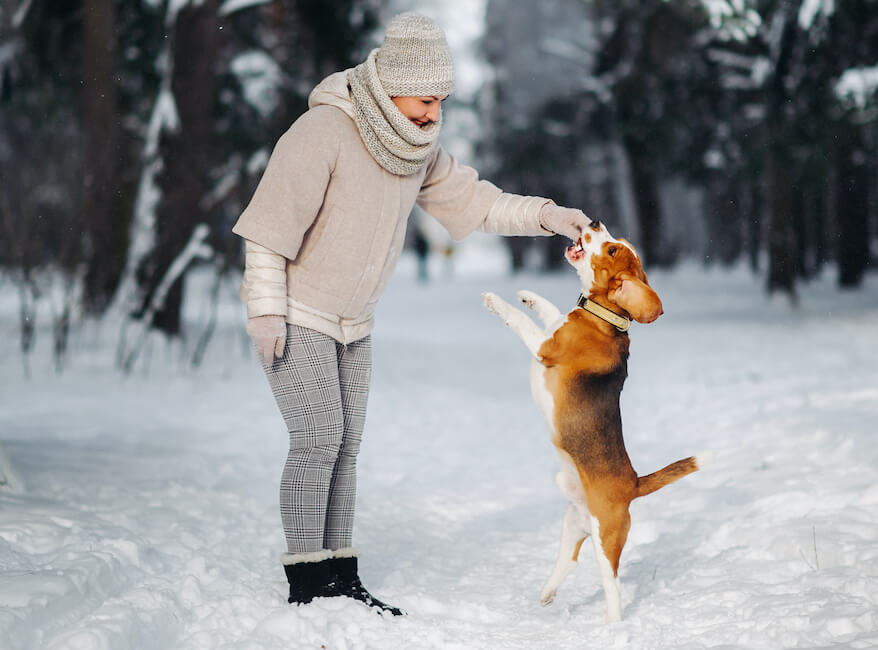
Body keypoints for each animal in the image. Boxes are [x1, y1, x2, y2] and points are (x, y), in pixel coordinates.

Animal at [482, 220, 708, 620]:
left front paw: (500, 301)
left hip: (606, 538)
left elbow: (520, 320)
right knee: (567, 562)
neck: (602, 315)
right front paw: (528, 294)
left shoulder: (544, 346)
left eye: (613, 249)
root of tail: (633, 483)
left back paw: (612, 625)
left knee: (612, 585)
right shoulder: (552, 328)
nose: (593, 223)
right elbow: (548, 308)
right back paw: (546, 594)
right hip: (573, 524)